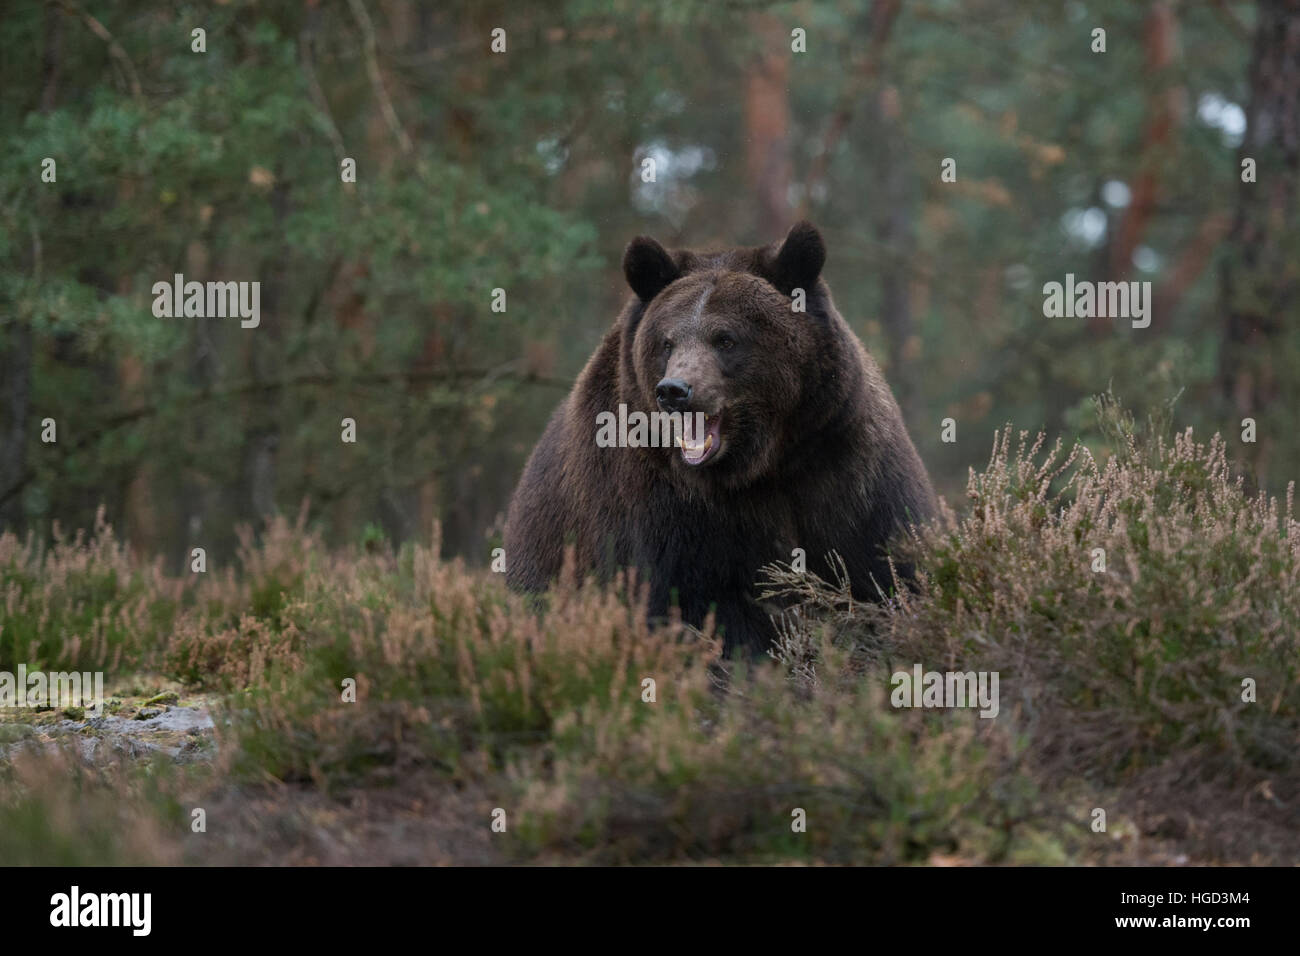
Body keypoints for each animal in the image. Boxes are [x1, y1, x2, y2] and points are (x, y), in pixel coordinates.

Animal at [504, 222, 935, 658]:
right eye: (667, 342)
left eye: (725, 339)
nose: (674, 390)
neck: (762, 463)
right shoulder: (660, 505)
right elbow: (698, 606)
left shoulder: (844, 467)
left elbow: (886, 566)